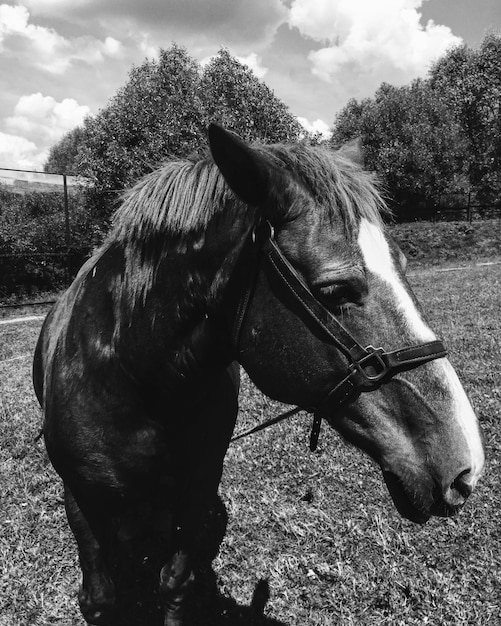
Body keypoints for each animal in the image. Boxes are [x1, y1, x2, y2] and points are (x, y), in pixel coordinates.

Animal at [32, 124, 484, 620]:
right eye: (335, 290)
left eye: (403, 266)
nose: (466, 466)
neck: (138, 379)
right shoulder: (81, 500)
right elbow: (99, 598)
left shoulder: (198, 486)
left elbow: (175, 583)